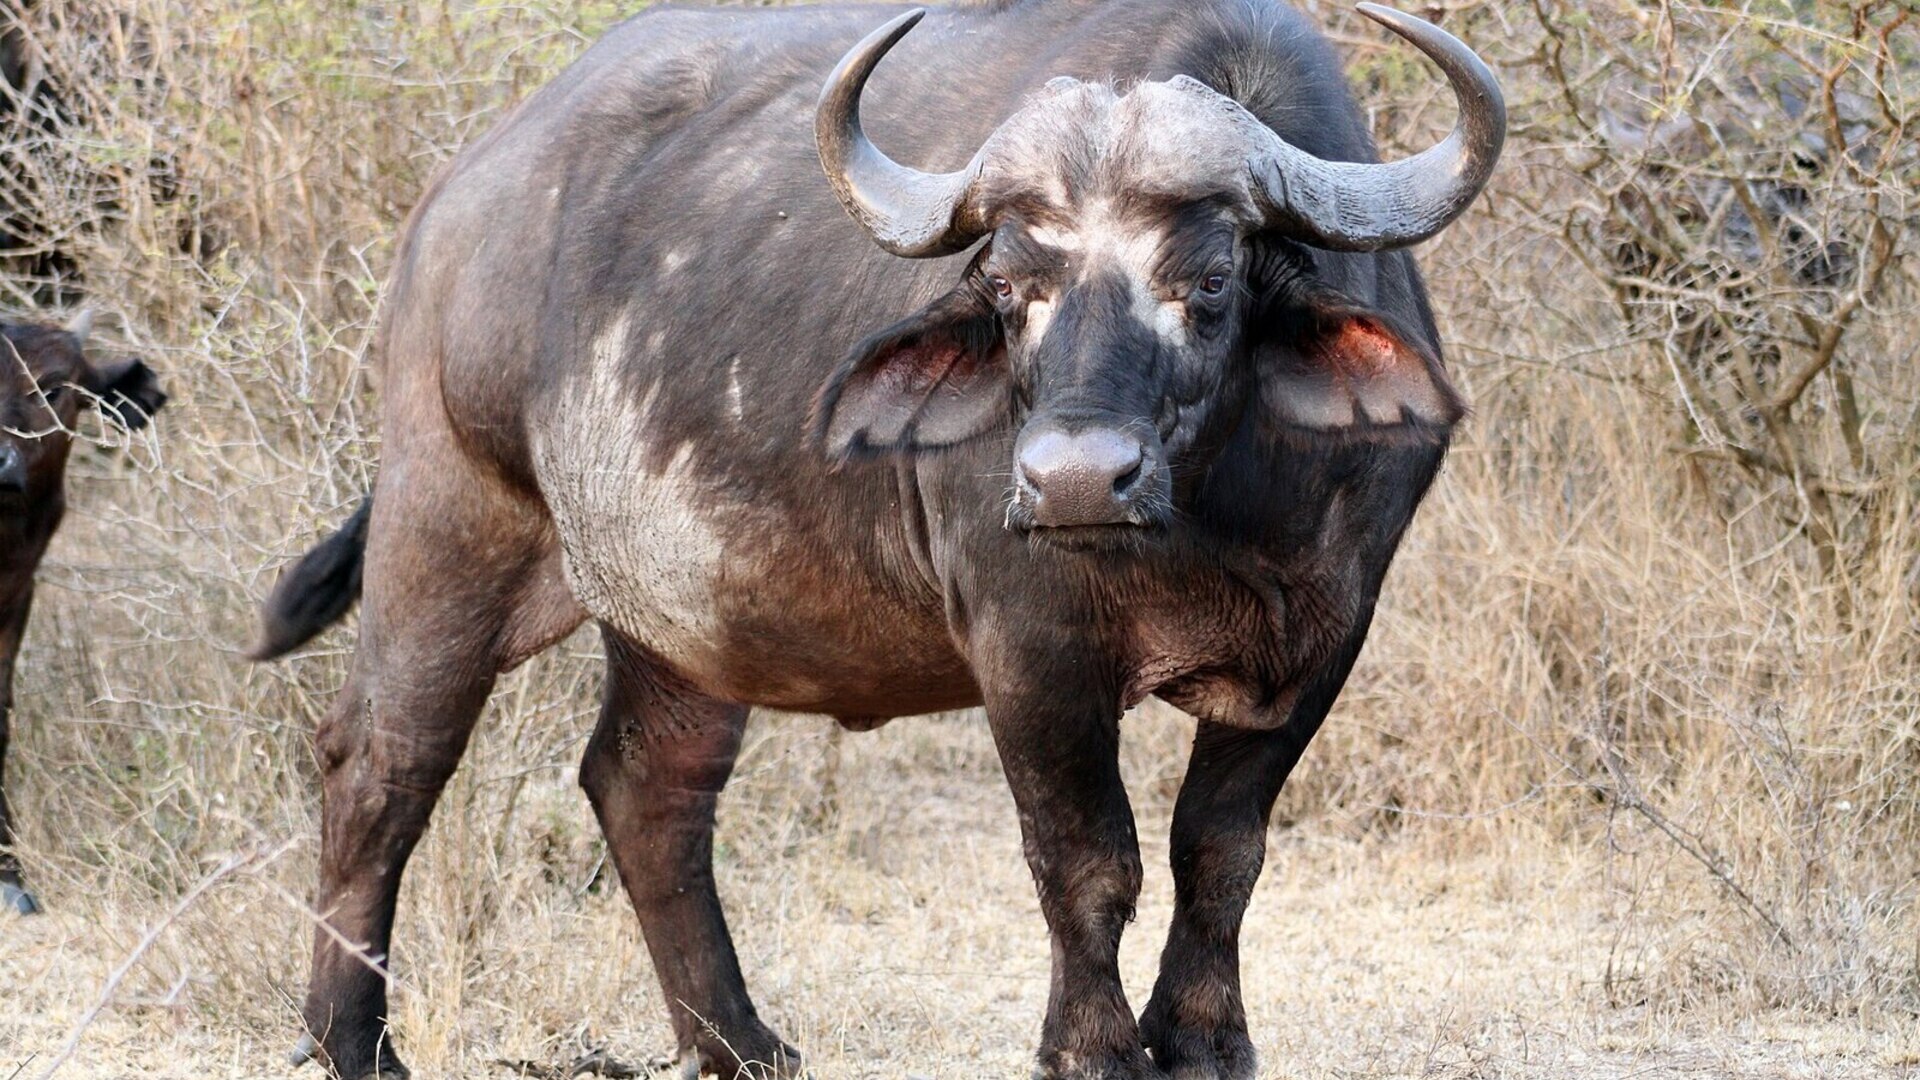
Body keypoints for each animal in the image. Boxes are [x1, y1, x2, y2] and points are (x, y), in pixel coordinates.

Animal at [253, 2, 1503, 1077]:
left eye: (1208, 280)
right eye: (1009, 287)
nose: (1070, 479)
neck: (1211, 521)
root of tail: (455, 204)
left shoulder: (1324, 636)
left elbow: (1221, 850)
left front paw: (1203, 1041)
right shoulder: (1030, 649)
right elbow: (1086, 860)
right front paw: (1094, 1050)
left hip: (683, 610)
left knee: (648, 787)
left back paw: (740, 1042)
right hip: (448, 516)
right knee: (380, 762)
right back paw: (351, 1040)